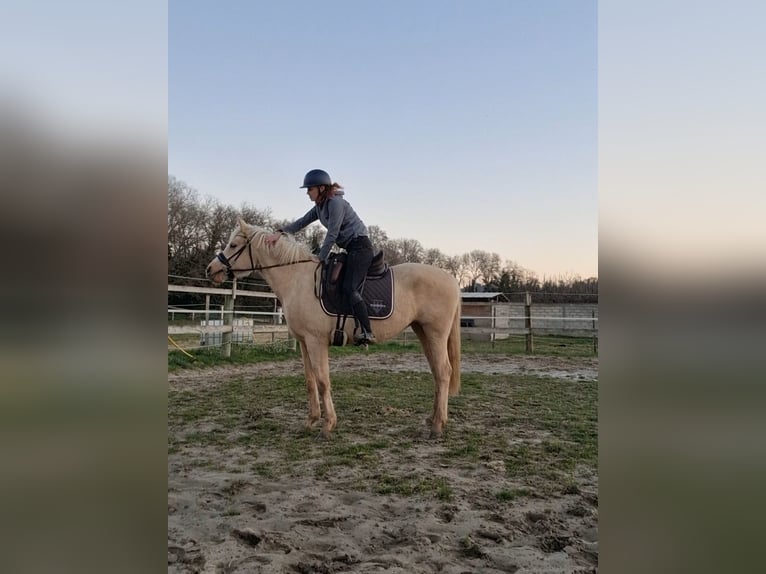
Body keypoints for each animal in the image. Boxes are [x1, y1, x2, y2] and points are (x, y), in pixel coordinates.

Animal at [204, 220, 464, 440]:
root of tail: (452, 280)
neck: (297, 279)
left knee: (443, 372)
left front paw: (327, 425)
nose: (210, 269)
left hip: (435, 334)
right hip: (424, 333)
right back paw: (432, 419)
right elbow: (310, 381)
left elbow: (322, 381)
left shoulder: (316, 341)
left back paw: (437, 426)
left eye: (233, 245)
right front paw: (311, 421)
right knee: (437, 373)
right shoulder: (304, 342)